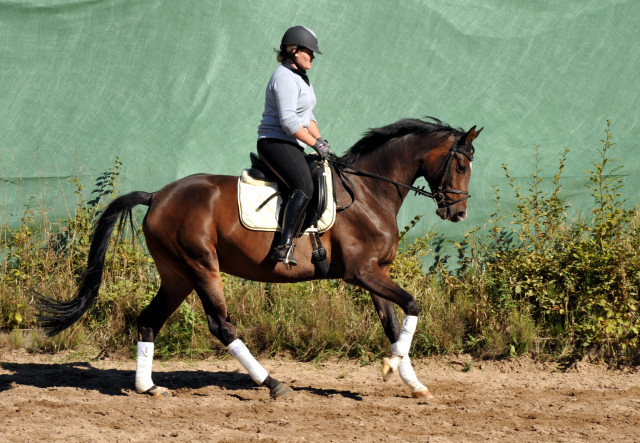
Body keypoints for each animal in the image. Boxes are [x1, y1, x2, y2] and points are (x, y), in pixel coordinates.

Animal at [38, 117, 480, 398]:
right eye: (460, 164)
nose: (459, 213)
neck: (370, 193)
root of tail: (157, 195)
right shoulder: (362, 273)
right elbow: (413, 304)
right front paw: (394, 370)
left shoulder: (376, 274)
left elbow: (393, 324)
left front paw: (411, 381)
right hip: (201, 267)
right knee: (221, 325)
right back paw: (272, 383)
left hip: (177, 275)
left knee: (149, 321)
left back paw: (149, 387)